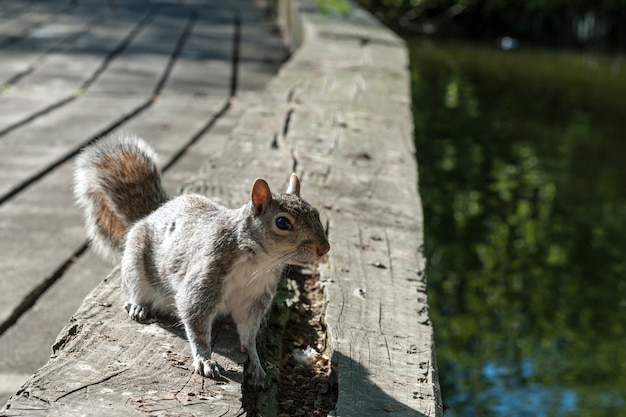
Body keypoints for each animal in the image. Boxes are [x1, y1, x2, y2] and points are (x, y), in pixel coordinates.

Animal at [72, 132, 330, 386]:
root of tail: (150, 215)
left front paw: (255, 362)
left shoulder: (254, 296)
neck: (258, 263)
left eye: (316, 213)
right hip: (135, 262)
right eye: (282, 222)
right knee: (132, 289)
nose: (324, 248)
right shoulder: (207, 274)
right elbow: (196, 320)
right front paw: (205, 360)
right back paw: (137, 306)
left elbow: (248, 331)